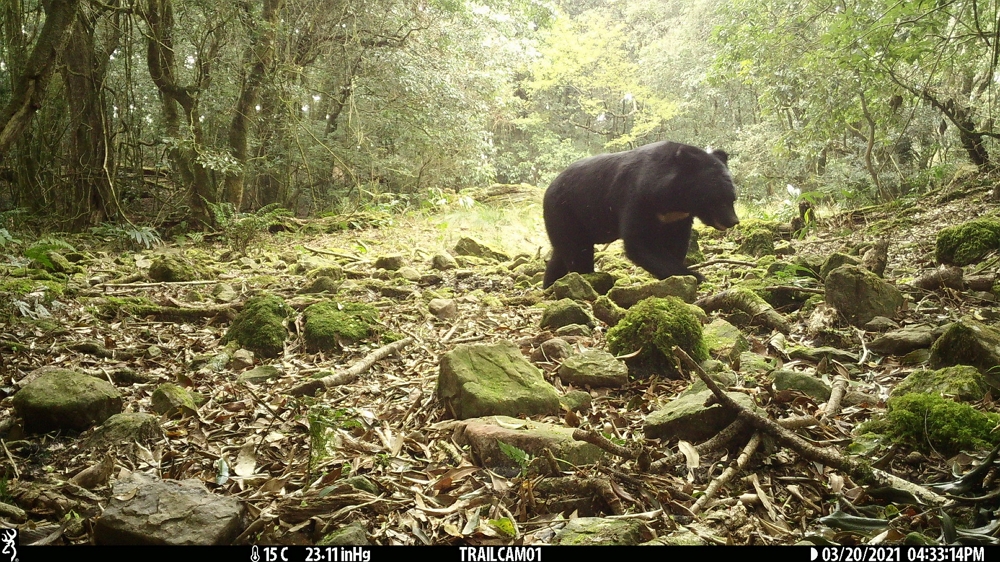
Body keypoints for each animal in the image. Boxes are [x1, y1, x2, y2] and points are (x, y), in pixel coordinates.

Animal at [544, 142, 740, 286]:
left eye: (733, 198)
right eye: (717, 199)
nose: (733, 221)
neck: (674, 200)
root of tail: (550, 187)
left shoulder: (678, 217)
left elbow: (676, 242)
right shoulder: (637, 198)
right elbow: (640, 241)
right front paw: (695, 275)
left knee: (560, 254)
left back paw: (550, 283)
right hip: (566, 212)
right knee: (577, 251)